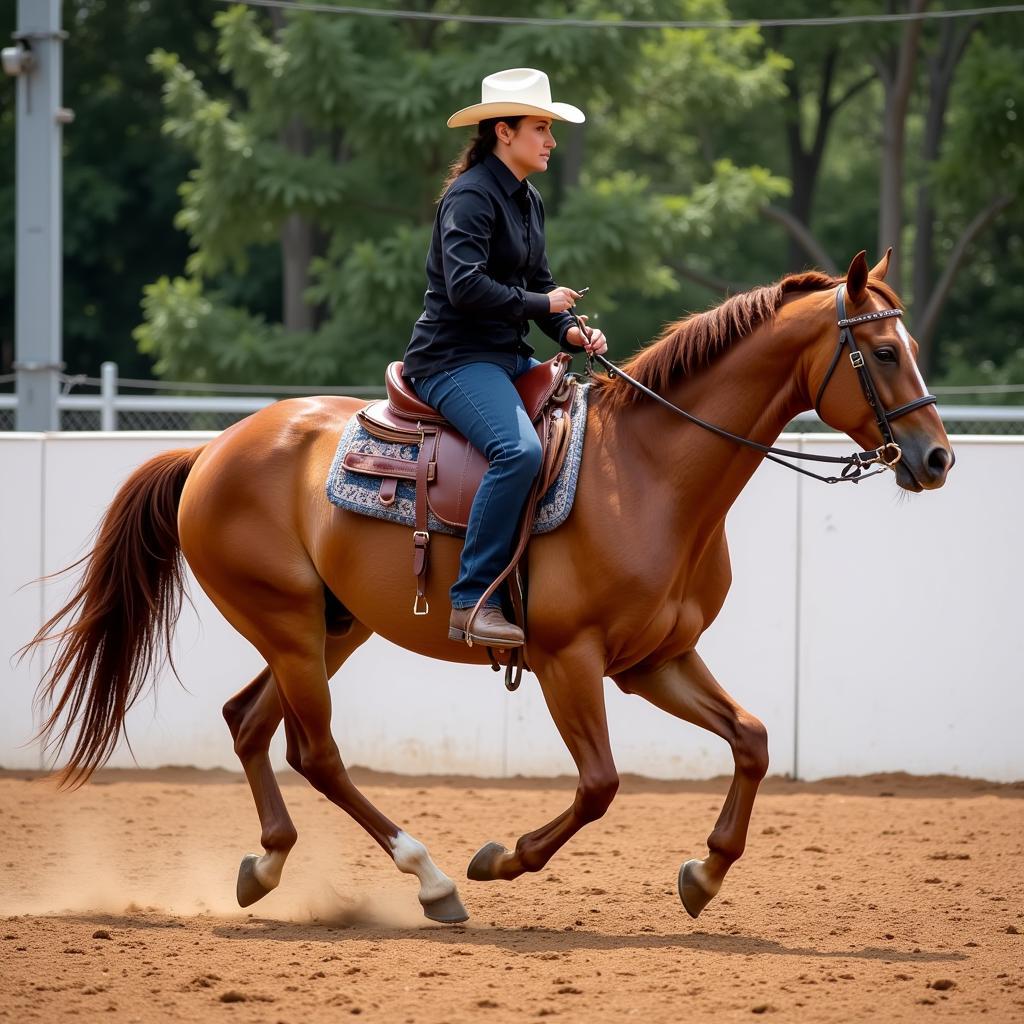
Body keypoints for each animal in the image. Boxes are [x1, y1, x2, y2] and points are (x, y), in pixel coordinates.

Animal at [29, 251, 950, 925]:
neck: (647, 474)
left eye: (909, 348)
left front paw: (705, 873)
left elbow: (752, 741)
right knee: (314, 751)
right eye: (881, 351)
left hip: (332, 627)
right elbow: (600, 785)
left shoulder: (657, 660)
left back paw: (267, 864)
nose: (937, 457)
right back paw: (432, 879)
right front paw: (502, 859)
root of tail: (211, 452)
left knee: (250, 723)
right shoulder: (567, 661)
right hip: (286, 624)